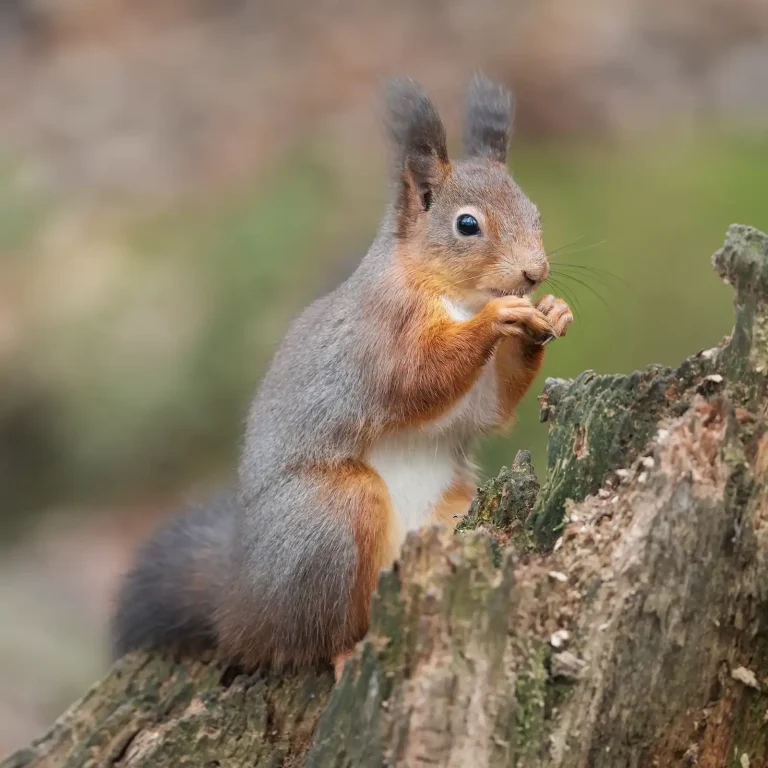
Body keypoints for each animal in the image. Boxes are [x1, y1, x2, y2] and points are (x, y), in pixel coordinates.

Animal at [111, 76, 573, 682]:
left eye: (536, 211)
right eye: (467, 224)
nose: (535, 272)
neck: (453, 294)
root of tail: (243, 605)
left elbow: (490, 409)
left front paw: (552, 314)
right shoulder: (379, 338)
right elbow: (416, 379)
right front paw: (499, 318)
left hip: (450, 503)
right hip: (329, 519)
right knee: (314, 635)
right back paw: (346, 649)